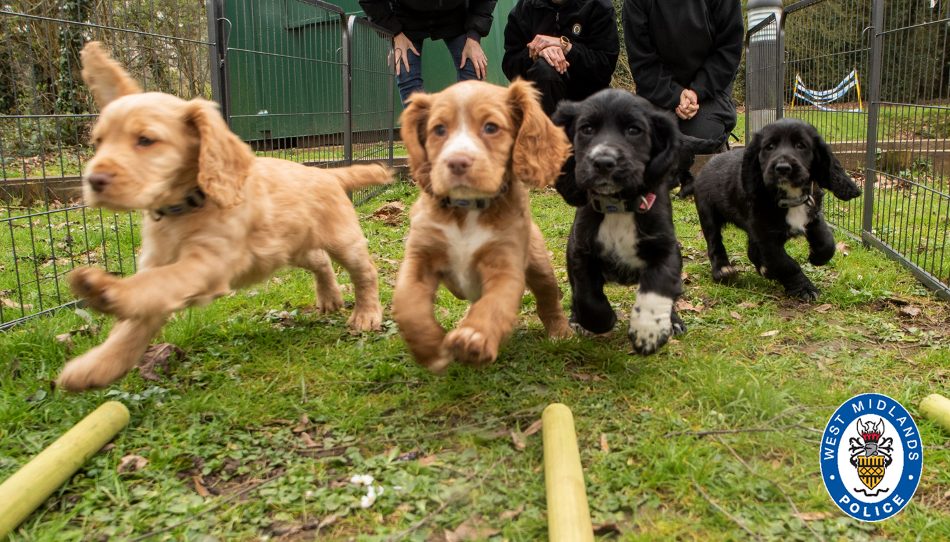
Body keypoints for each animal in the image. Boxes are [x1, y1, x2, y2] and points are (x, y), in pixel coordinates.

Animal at [57, 41, 386, 392]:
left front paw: (106, 290)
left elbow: (154, 283)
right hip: (289, 247)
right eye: (98, 141)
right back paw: (329, 299)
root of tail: (328, 174)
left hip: (343, 240)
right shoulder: (159, 262)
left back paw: (366, 315)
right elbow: (136, 320)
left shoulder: (206, 263)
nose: (94, 180)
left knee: (365, 270)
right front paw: (96, 368)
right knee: (320, 261)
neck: (183, 207)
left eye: (146, 140)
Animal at [392, 79, 572, 374]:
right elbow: (408, 304)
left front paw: (474, 337)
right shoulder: (419, 258)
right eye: (439, 129)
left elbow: (493, 305)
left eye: (490, 128)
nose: (457, 162)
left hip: (539, 264)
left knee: (548, 298)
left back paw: (561, 332)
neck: (468, 210)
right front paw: (428, 348)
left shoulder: (506, 266)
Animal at [556, 90, 688, 356]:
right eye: (586, 129)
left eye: (634, 130)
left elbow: (659, 286)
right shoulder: (580, 250)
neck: (617, 207)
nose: (603, 162)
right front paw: (603, 320)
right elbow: (586, 298)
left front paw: (648, 332)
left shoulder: (666, 248)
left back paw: (673, 321)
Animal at [688, 117, 868, 302]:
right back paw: (723, 269)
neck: (789, 197)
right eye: (769, 147)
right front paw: (803, 288)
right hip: (708, 214)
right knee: (714, 241)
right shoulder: (766, 236)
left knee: (752, 250)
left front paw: (816, 257)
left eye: (801, 145)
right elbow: (785, 263)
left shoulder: (813, 215)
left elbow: (827, 242)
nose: (782, 168)